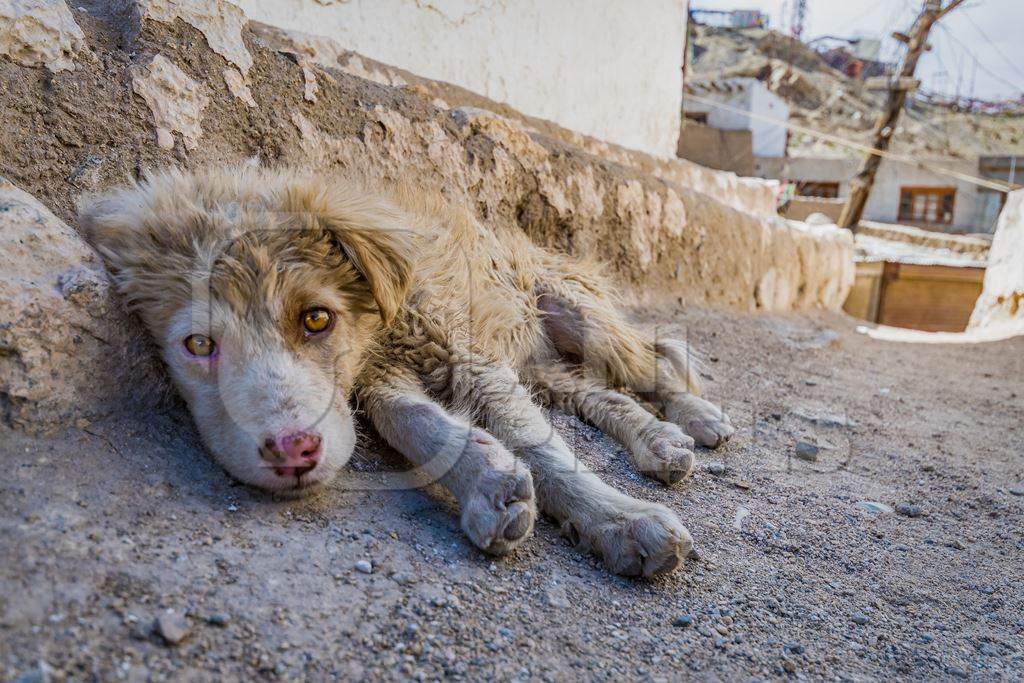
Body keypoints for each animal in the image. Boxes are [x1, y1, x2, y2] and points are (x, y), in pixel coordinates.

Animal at [83, 165, 733, 577]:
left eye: (316, 318)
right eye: (199, 344)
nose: (292, 451)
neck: (378, 327)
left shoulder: (462, 352)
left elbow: (540, 446)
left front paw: (619, 520)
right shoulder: (380, 381)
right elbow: (415, 424)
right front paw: (486, 480)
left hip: (576, 314)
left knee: (653, 361)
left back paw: (697, 419)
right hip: (540, 362)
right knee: (602, 396)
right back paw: (660, 441)